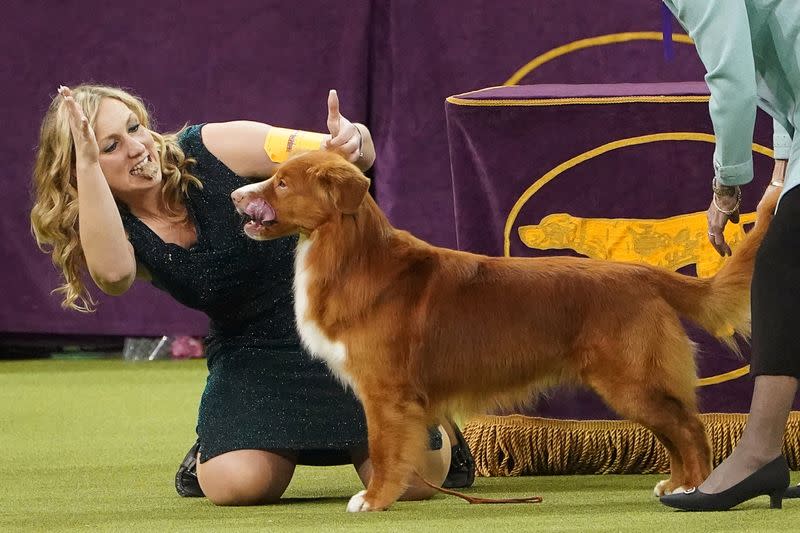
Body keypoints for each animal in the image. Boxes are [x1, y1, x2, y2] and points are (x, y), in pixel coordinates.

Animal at [230, 150, 776, 512]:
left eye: (281, 184)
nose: (235, 193)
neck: (352, 255)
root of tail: (643, 275)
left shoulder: (386, 392)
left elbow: (385, 449)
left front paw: (376, 498)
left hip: (631, 379)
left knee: (689, 427)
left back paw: (695, 489)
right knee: (675, 429)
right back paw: (675, 485)